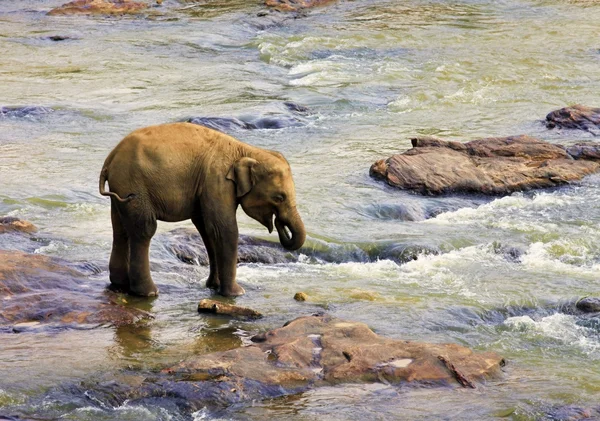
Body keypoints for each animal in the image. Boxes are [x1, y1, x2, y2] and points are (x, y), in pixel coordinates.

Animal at [99, 123, 304, 296]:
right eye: (279, 197)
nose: (279, 224)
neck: (246, 150)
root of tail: (110, 157)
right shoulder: (217, 181)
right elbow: (224, 229)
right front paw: (236, 293)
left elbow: (207, 229)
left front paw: (214, 286)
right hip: (134, 186)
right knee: (144, 230)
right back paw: (148, 292)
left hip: (121, 189)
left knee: (121, 229)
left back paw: (120, 284)